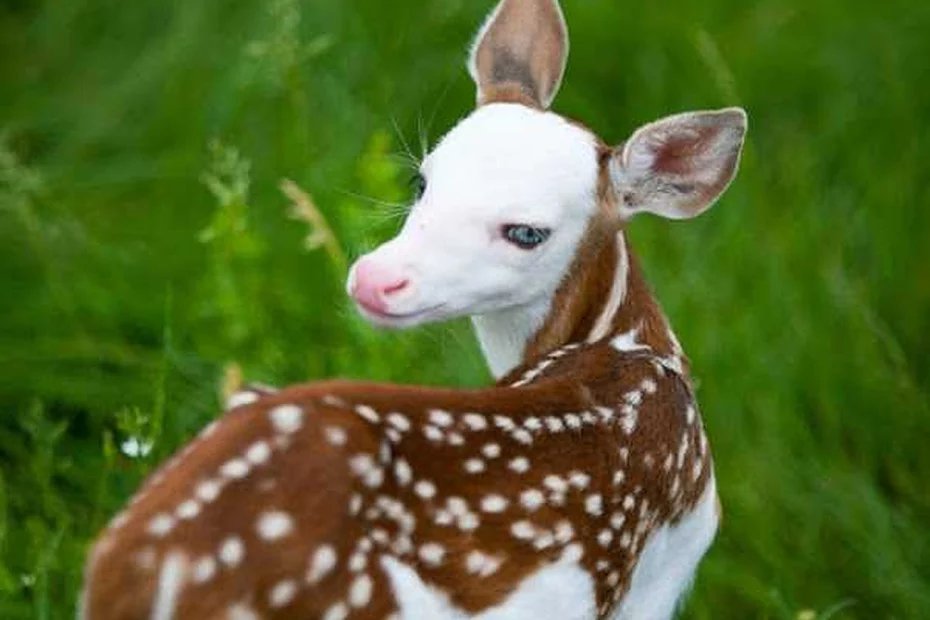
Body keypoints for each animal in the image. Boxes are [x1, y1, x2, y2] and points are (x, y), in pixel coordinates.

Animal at [80, 1, 748, 620]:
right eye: (422, 182)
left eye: (527, 232)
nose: (375, 280)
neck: (633, 346)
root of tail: (148, 566)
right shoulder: (658, 577)